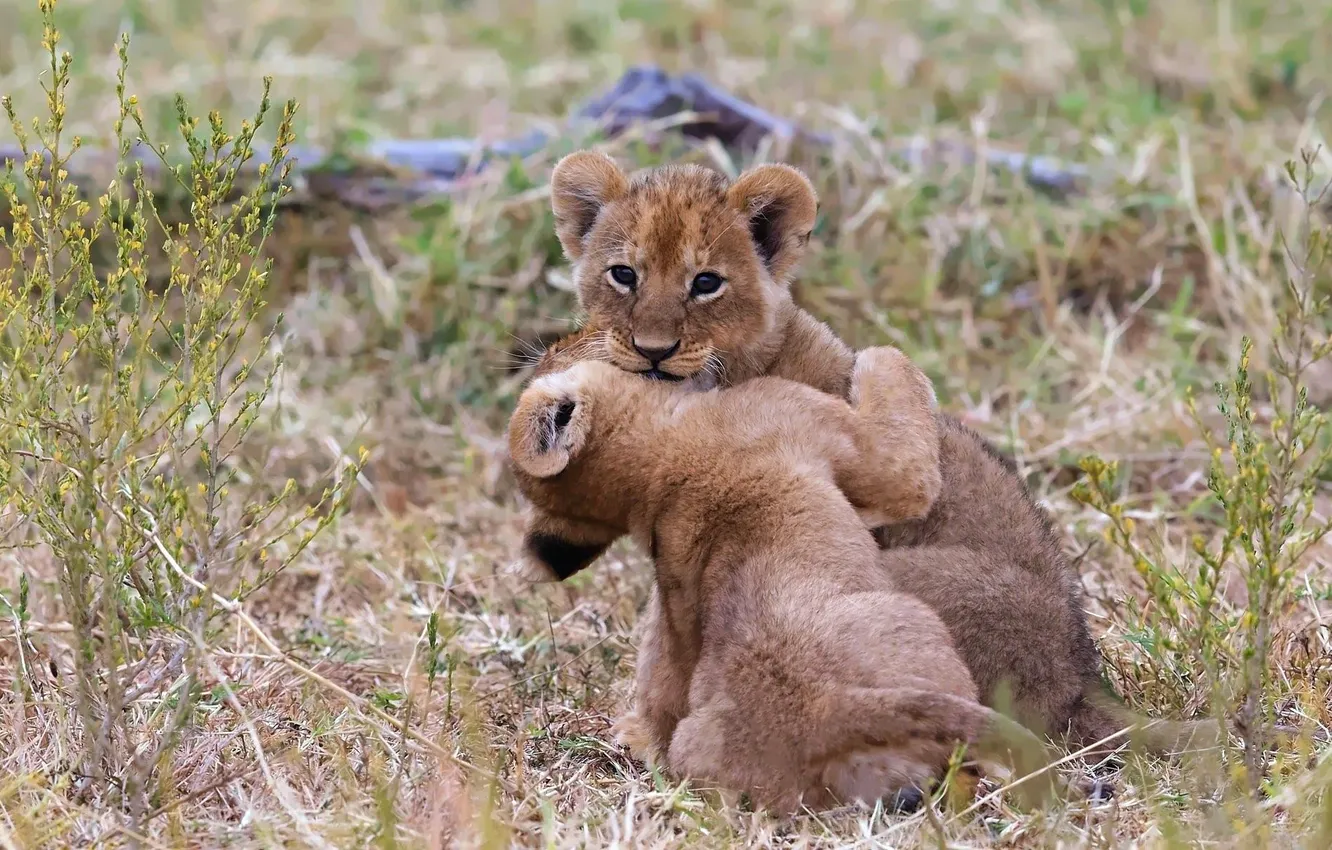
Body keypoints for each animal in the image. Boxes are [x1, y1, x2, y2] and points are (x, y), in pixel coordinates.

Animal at [507, 343, 1058, 812]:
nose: (543, 348)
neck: (654, 464)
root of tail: (824, 711)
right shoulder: (874, 459)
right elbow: (893, 379)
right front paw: (875, 352)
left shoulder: (674, 595)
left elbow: (663, 671)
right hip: (913, 614)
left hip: (702, 746)